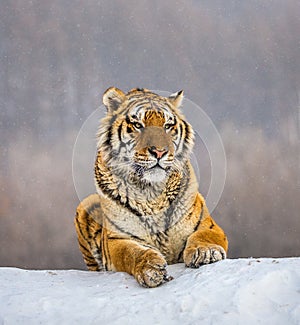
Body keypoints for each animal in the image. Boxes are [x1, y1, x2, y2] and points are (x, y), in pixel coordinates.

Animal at [74, 87, 227, 288]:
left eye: (168, 126)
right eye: (138, 125)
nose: (159, 152)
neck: (151, 191)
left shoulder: (207, 224)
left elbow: (203, 236)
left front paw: (206, 252)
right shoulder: (118, 239)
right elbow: (131, 253)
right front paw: (150, 268)